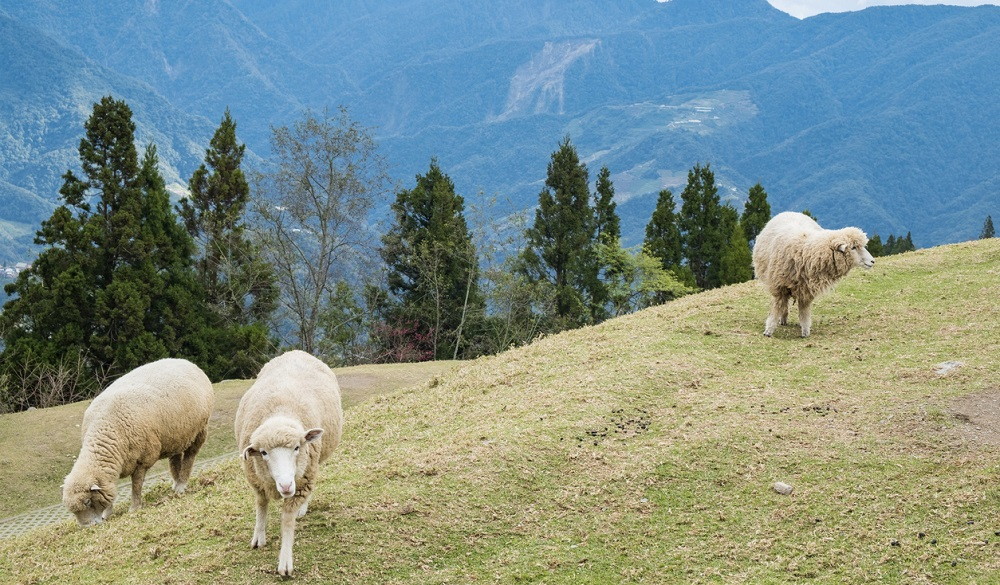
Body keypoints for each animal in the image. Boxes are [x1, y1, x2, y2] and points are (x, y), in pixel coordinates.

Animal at [62, 358, 215, 528]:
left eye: (88, 502)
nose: (87, 527)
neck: (107, 429)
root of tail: (186, 361)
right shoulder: (111, 471)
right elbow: (109, 491)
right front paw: (107, 514)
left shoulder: (142, 460)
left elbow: (136, 485)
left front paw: (134, 508)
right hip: (175, 435)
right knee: (175, 459)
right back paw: (175, 484)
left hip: (199, 430)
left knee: (190, 456)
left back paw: (182, 485)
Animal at [234, 350, 344, 576]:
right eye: (263, 453)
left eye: (297, 448)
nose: (286, 486)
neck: (279, 412)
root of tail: (297, 351)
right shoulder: (256, 481)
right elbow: (261, 505)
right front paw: (259, 537)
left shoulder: (301, 484)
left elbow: (287, 520)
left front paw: (285, 562)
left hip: (312, 467)